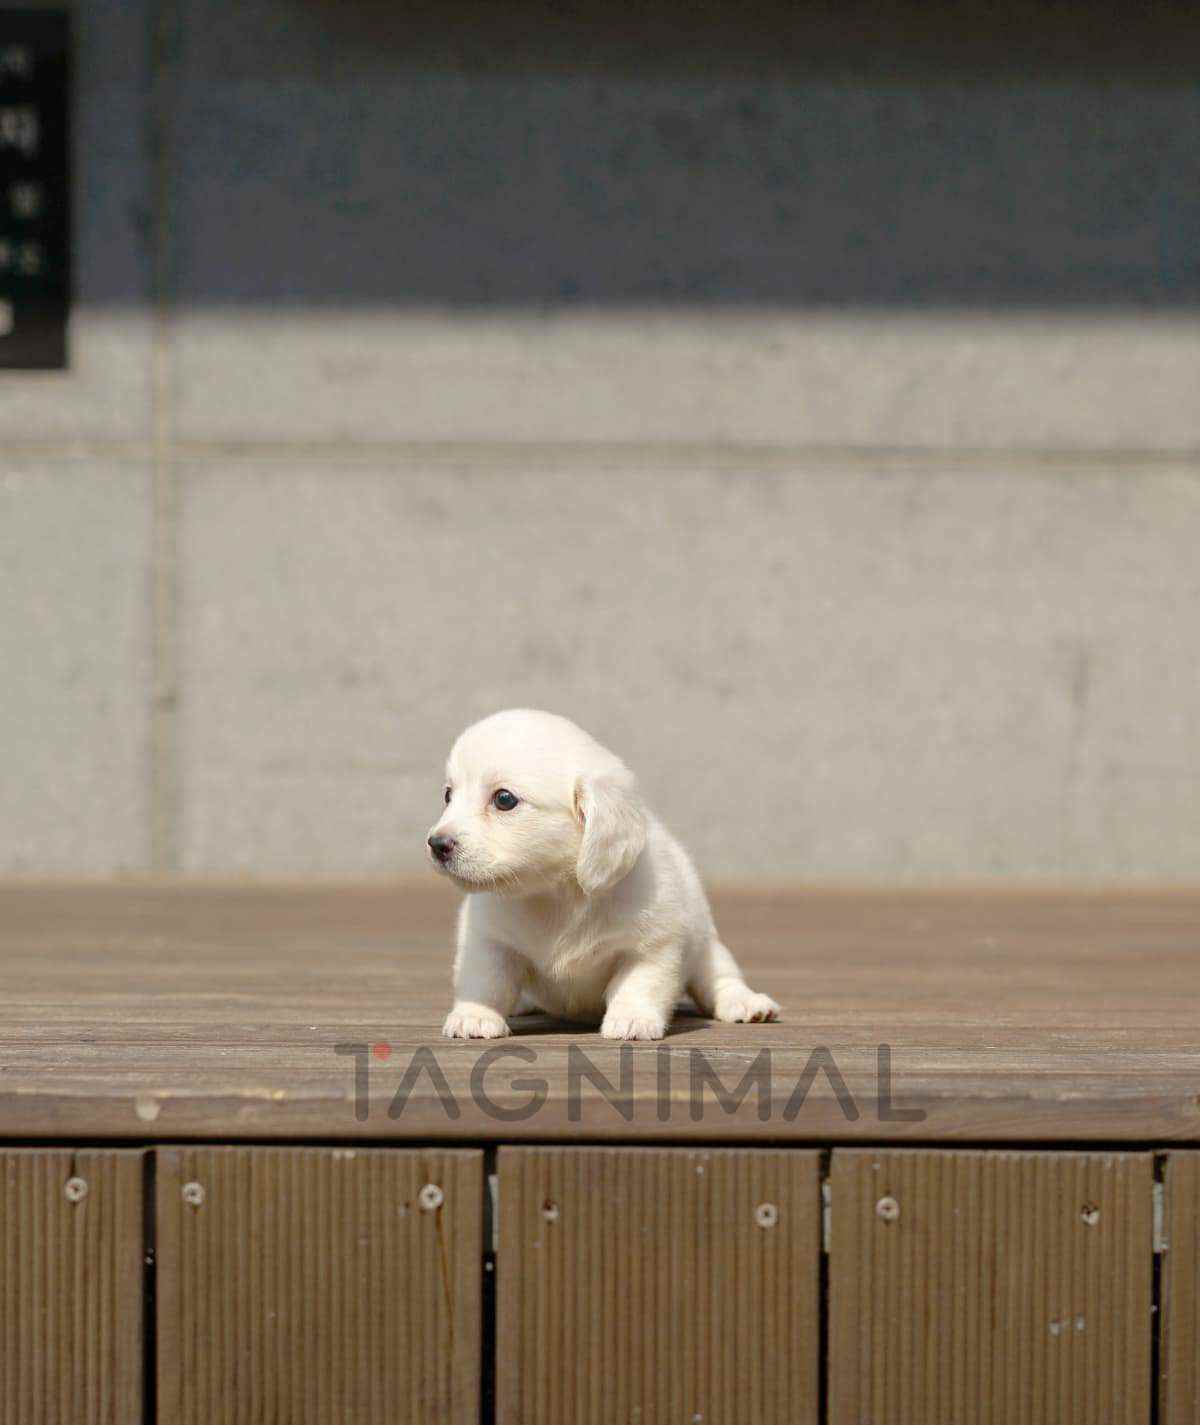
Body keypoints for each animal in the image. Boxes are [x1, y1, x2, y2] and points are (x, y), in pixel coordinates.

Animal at [427, 709, 780, 1040]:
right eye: (448, 795)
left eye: (504, 799)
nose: (436, 844)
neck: (555, 895)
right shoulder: (489, 943)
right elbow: (485, 983)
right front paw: (474, 1014)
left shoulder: (650, 948)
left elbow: (638, 985)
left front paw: (632, 1019)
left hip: (708, 949)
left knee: (720, 980)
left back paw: (746, 1003)